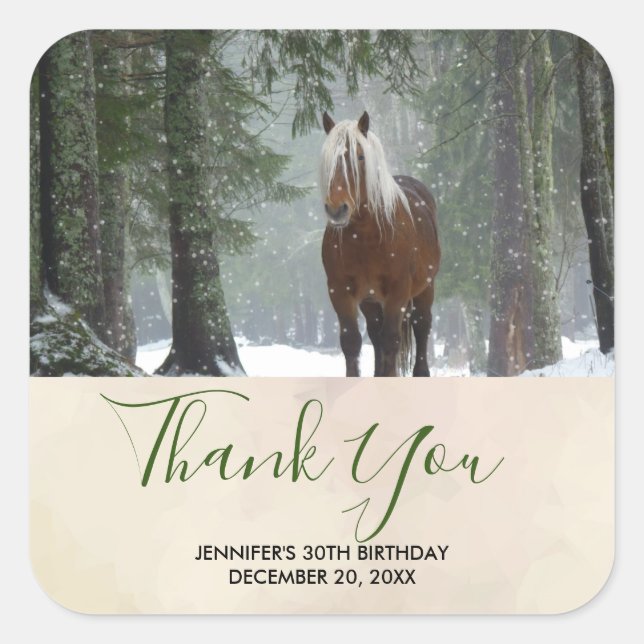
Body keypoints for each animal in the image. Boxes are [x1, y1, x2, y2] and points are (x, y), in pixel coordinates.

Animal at [320, 111, 440, 377]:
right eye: (328, 160)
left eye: (360, 156)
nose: (337, 209)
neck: (366, 237)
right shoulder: (339, 291)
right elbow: (351, 341)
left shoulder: (398, 292)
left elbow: (391, 340)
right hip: (370, 301)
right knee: (375, 335)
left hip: (425, 289)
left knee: (421, 326)